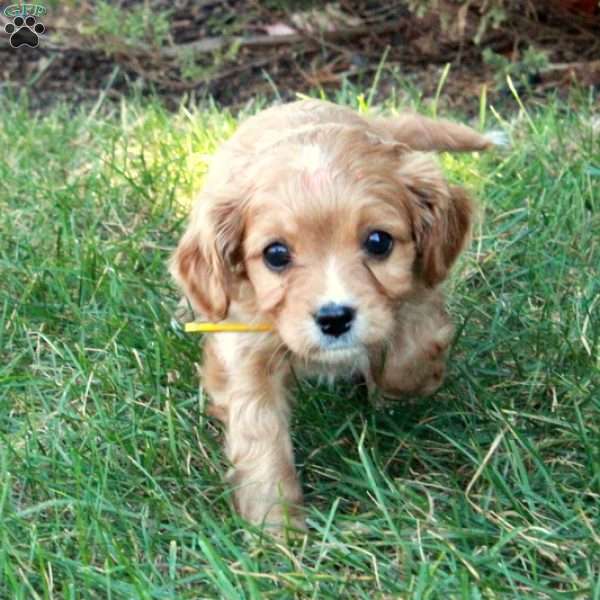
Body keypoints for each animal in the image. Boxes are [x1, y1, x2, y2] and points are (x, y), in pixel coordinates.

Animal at [170, 101, 496, 532]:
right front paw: (277, 530)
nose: (335, 318)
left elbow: (410, 357)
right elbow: (261, 438)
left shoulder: (418, 292)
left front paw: (396, 391)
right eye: (276, 254)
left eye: (378, 241)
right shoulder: (246, 345)